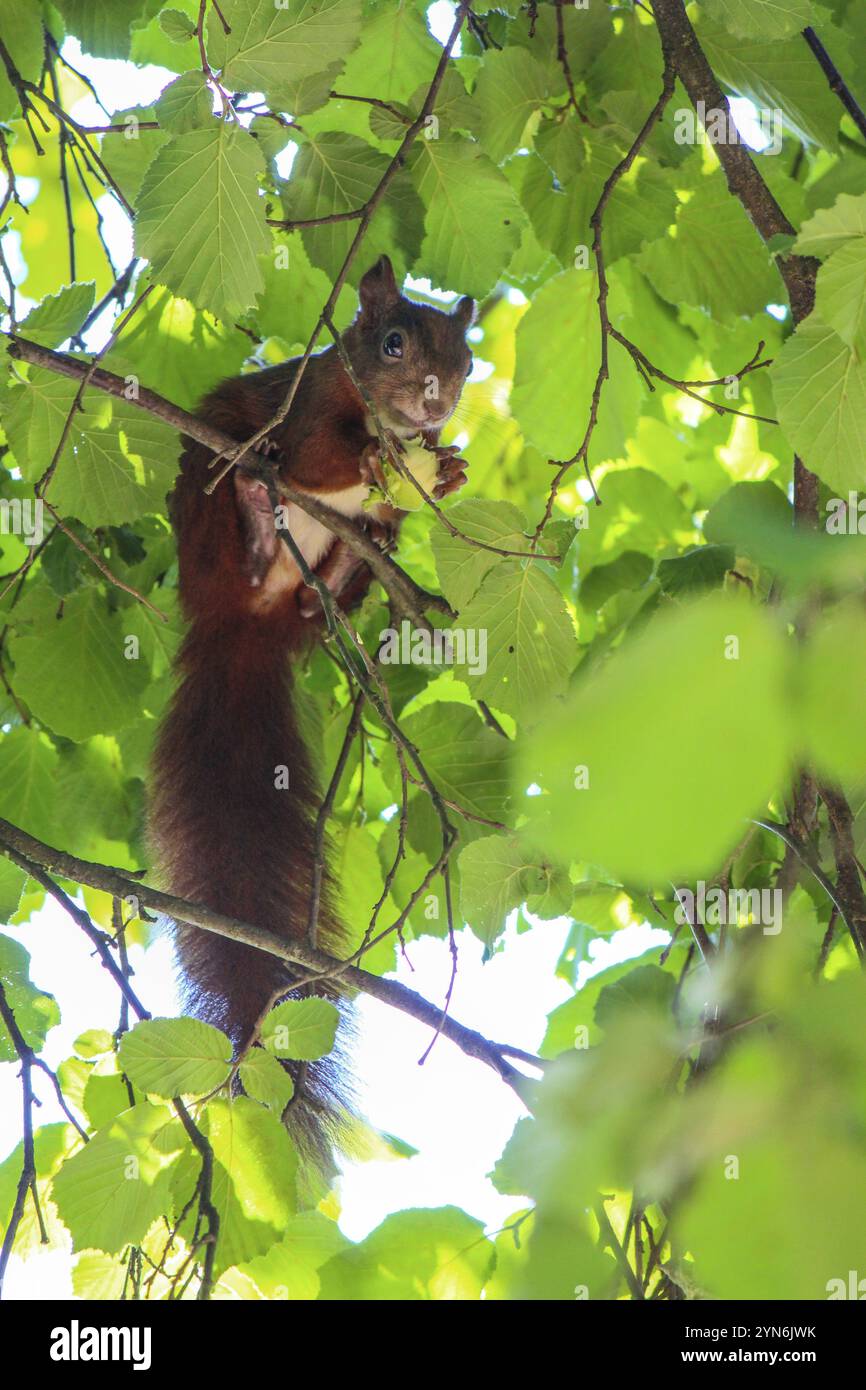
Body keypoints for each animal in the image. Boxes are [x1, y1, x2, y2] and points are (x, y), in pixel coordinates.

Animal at [148, 258, 475, 1173]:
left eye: (468, 359)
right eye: (392, 341)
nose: (434, 408)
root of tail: (239, 626)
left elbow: (399, 495)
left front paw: (446, 471)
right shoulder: (307, 411)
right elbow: (321, 452)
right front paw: (369, 454)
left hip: (329, 579)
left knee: (335, 574)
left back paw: (331, 579)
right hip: (207, 513)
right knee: (245, 499)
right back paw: (259, 516)